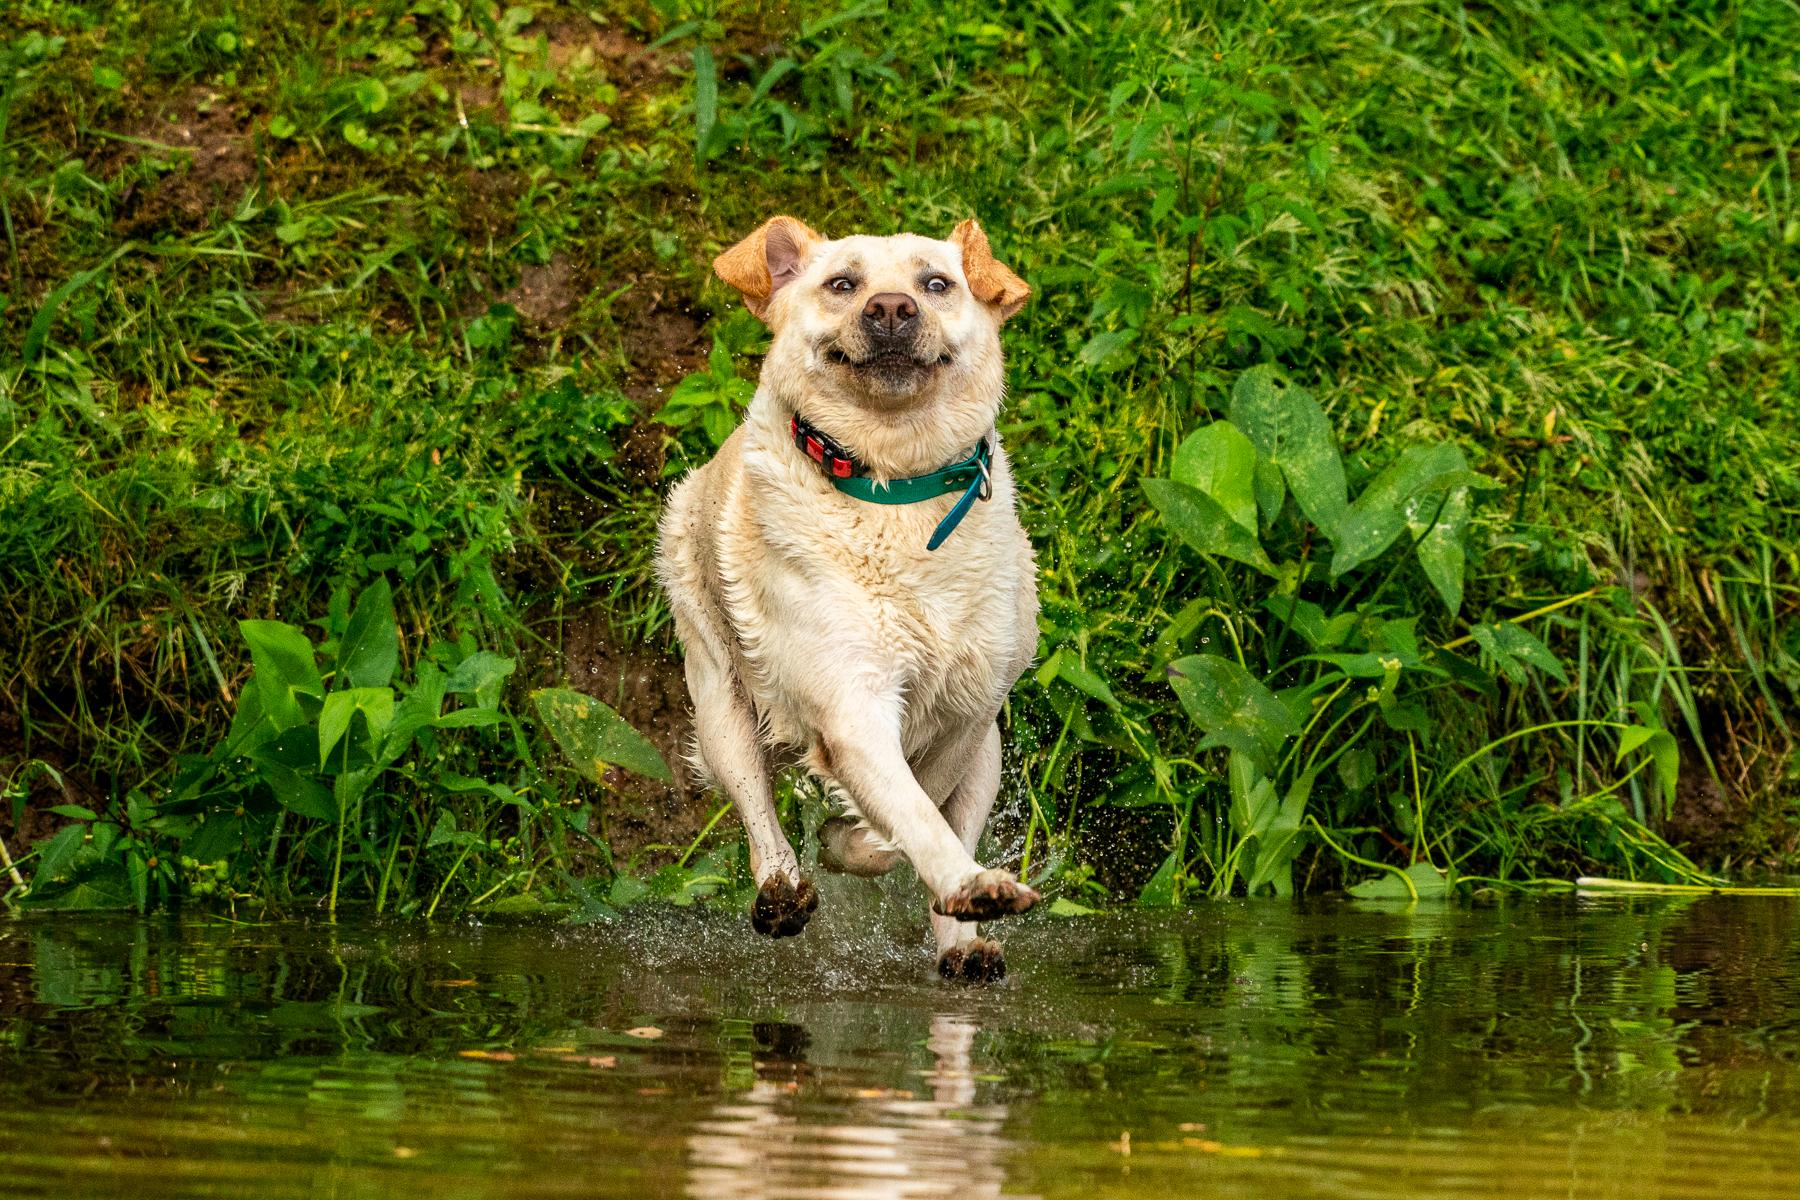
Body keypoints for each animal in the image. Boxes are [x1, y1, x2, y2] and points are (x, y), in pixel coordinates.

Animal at [658, 218, 1044, 985]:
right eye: (842, 283)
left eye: (937, 283)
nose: (891, 308)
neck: (895, 488)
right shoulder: (850, 704)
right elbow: (907, 814)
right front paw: (870, 849)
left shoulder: (970, 713)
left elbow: (923, 811)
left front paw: (938, 883)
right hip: (720, 701)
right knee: (758, 810)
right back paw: (782, 890)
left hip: (988, 754)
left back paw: (964, 945)